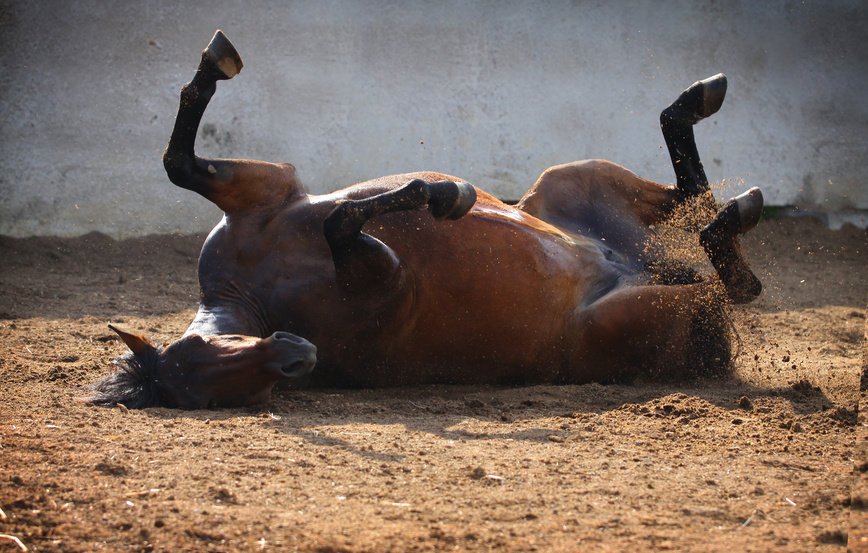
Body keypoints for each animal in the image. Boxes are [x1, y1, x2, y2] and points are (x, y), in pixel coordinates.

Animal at [83, 31, 760, 410]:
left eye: (202, 345)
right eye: (214, 397)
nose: (295, 357)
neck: (257, 292)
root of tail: (643, 265)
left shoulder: (265, 192)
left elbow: (180, 162)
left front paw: (213, 64)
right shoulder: (388, 278)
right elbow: (342, 223)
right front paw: (439, 194)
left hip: (573, 178)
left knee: (696, 199)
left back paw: (704, 117)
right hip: (645, 312)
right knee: (721, 277)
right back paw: (732, 231)